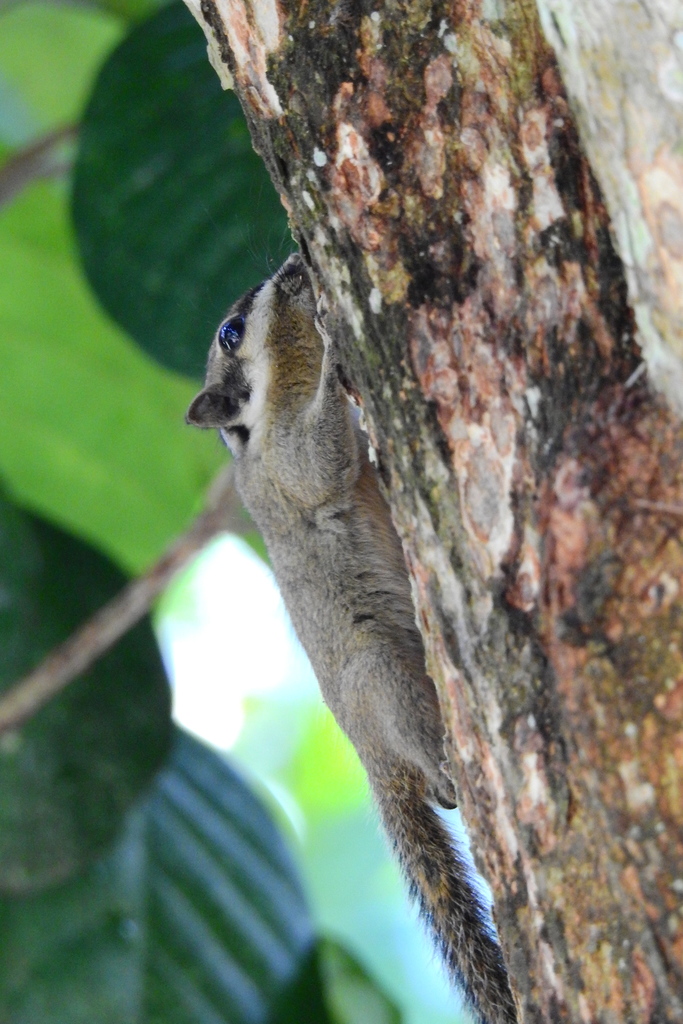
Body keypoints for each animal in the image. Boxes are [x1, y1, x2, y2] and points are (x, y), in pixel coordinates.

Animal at [187, 253, 518, 1024]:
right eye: (231, 330)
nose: (290, 264)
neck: (277, 403)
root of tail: (374, 758)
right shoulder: (285, 465)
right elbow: (323, 461)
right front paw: (339, 349)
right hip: (384, 676)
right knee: (437, 777)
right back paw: (447, 769)